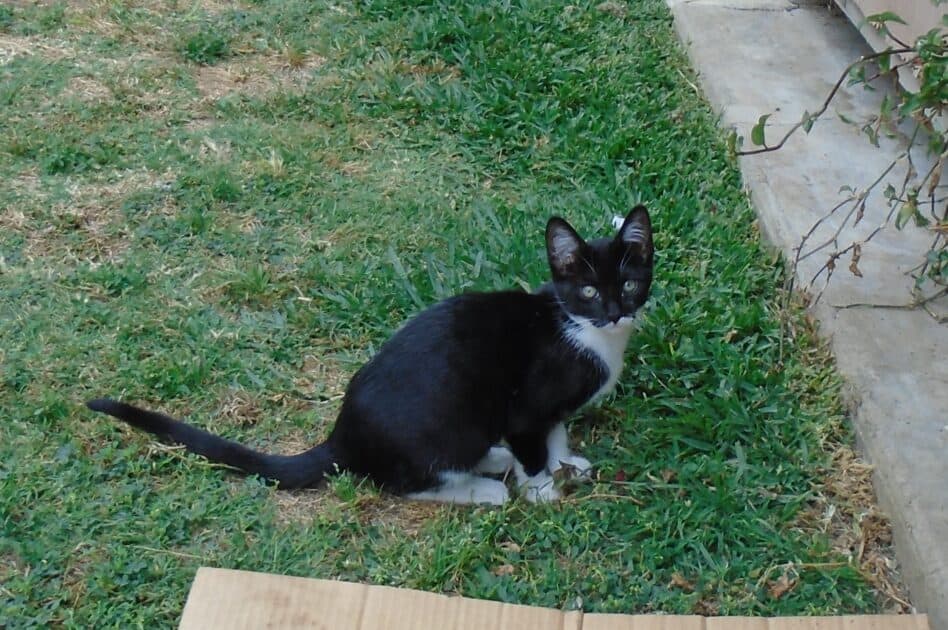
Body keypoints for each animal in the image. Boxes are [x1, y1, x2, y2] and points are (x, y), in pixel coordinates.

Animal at [87, 210, 652, 506]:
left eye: (629, 283)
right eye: (586, 291)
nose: (616, 313)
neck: (583, 334)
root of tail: (343, 435)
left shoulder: (551, 411)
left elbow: (556, 436)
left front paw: (565, 464)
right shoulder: (527, 407)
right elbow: (534, 444)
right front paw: (542, 489)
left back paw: (492, 462)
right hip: (449, 424)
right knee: (401, 484)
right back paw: (483, 488)